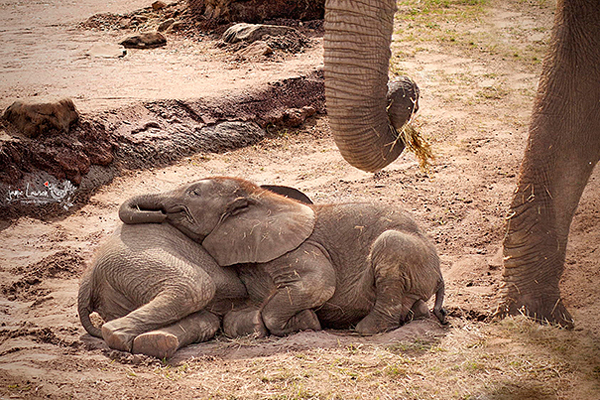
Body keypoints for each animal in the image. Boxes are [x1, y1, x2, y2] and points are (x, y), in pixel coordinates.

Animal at [118, 177, 446, 338]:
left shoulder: (299, 248)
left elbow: (320, 283)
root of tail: (440, 271)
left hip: (408, 249)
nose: (156, 213)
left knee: (390, 246)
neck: (260, 199)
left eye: (194, 192)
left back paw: (366, 330)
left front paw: (308, 322)